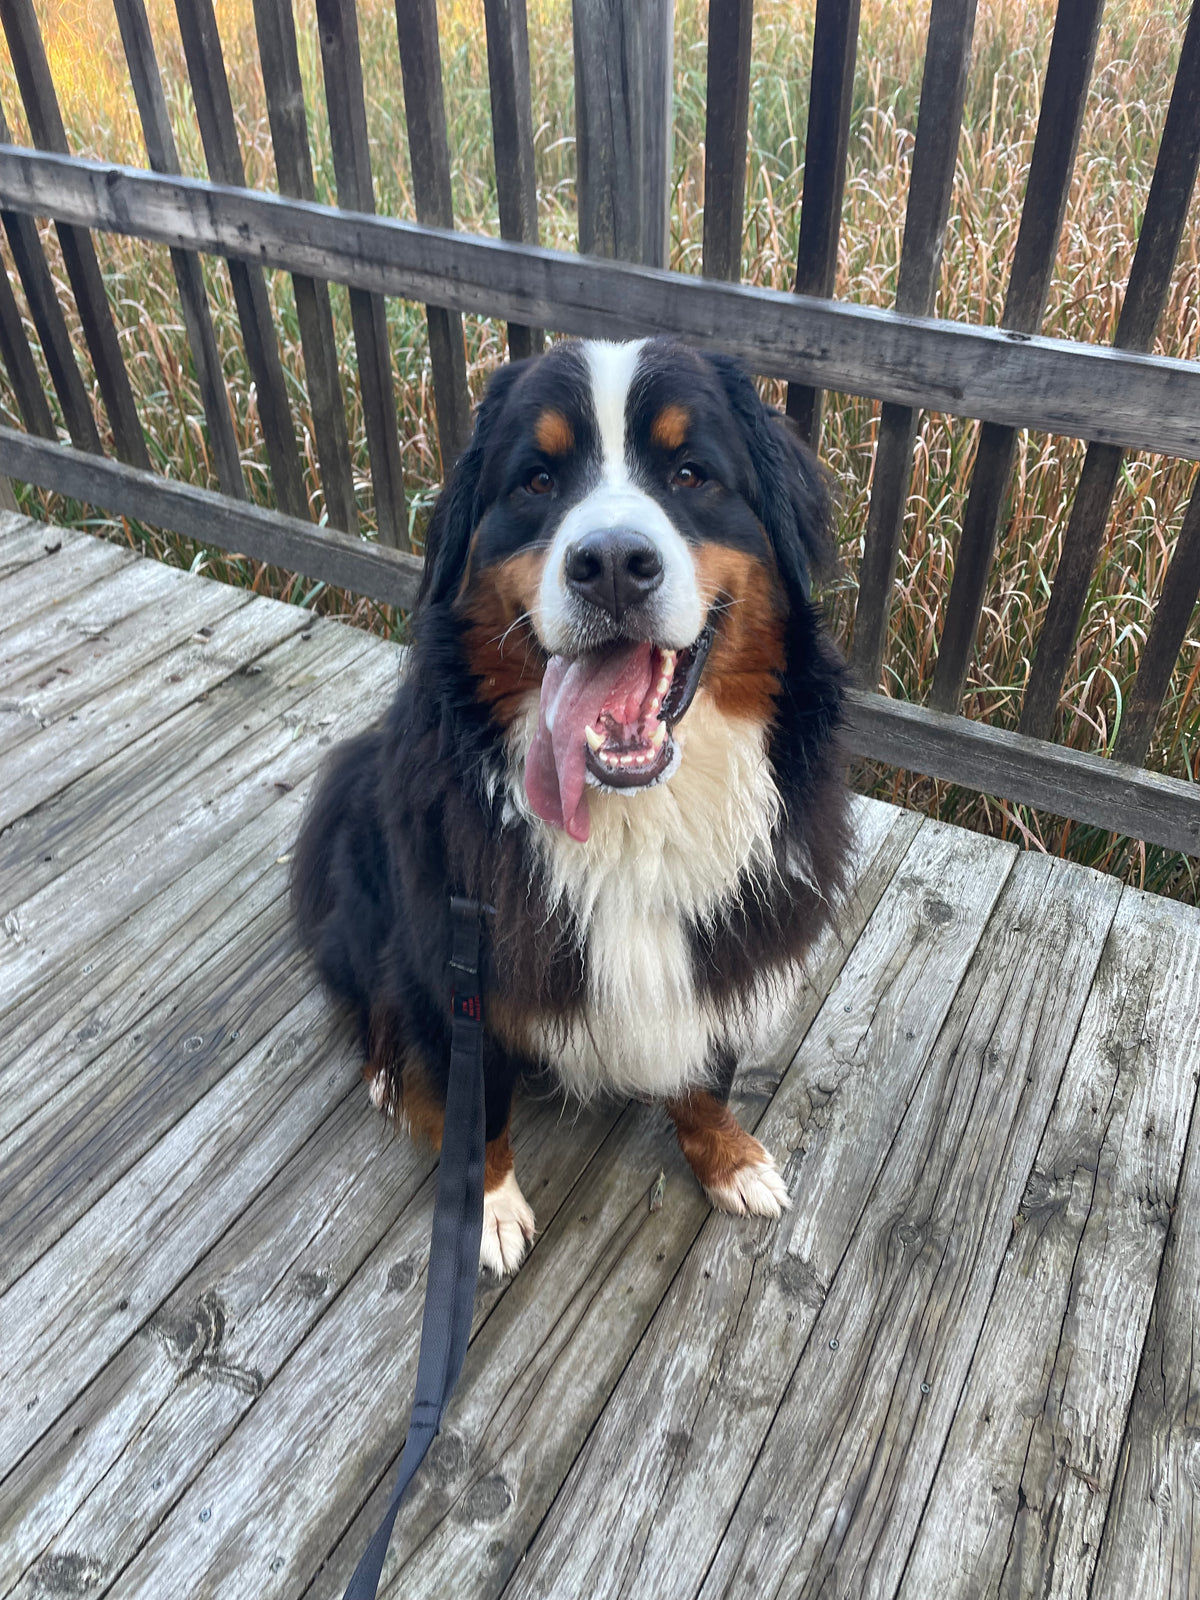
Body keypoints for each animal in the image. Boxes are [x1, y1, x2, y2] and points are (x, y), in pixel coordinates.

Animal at [291, 334, 857, 1273]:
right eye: (536, 481)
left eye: (692, 472)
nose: (614, 566)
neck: (627, 819)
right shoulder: (458, 965)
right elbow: (474, 1106)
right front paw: (484, 1210)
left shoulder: (722, 941)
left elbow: (706, 1072)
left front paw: (728, 1158)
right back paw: (387, 1071)